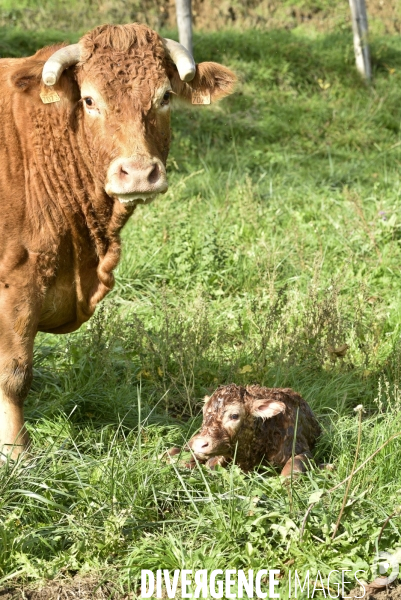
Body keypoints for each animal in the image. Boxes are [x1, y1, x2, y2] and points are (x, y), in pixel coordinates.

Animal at [0, 23, 234, 460]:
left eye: (164, 96)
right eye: (90, 99)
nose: (139, 172)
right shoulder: (17, 280)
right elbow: (14, 373)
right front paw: (16, 452)